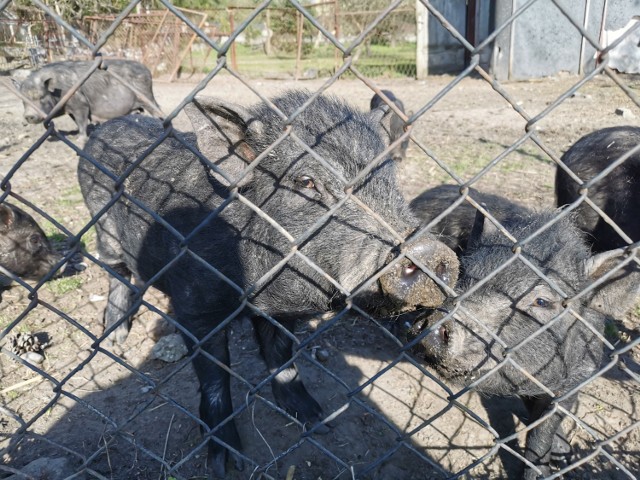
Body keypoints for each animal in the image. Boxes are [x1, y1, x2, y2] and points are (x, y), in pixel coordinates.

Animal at [13, 59, 160, 137]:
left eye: (41, 97)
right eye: (23, 100)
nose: (29, 116)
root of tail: (147, 70)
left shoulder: (80, 103)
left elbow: (82, 121)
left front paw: (80, 139)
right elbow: (77, 122)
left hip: (146, 95)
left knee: (157, 110)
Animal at [79, 90, 460, 476]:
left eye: (389, 179)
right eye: (305, 182)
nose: (429, 252)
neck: (261, 292)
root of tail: (103, 128)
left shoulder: (282, 315)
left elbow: (281, 356)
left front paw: (318, 420)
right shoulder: (196, 309)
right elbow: (215, 377)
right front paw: (225, 463)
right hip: (104, 232)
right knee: (117, 275)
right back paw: (114, 339)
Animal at [410, 186, 640, 478]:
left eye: (542, 301)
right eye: (465, 275)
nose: (436, 322)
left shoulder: (577, 376)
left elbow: (543, 431)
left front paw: (561, 457)